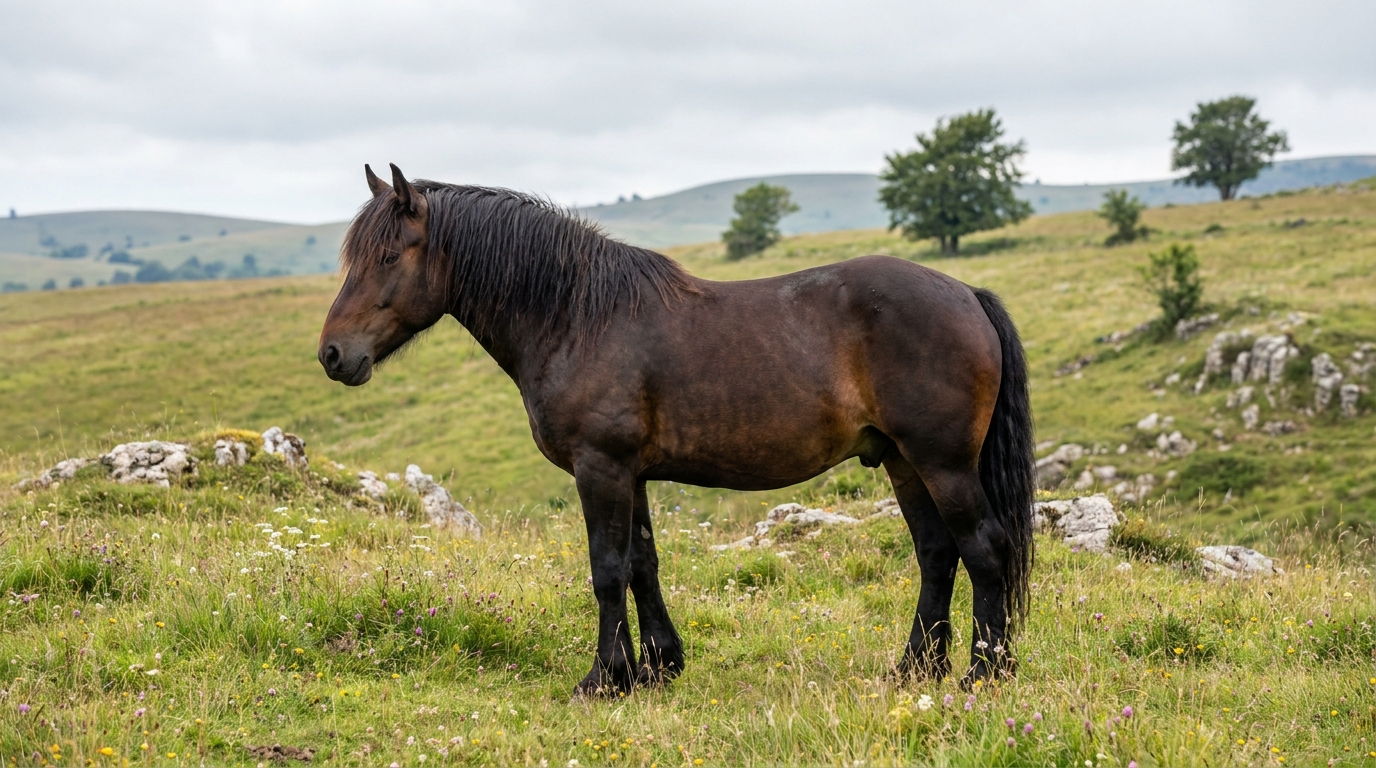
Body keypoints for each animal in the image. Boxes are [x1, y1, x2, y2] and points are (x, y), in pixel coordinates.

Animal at [318, 164, 1036, 696]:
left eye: (388, 255)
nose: (333, 355)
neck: (577, 316)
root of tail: (967, 295)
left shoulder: (601, 468)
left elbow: (607, 569)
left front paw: (603, 679)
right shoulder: (628, 473)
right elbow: (643, 564)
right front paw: (657, 668)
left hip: (942, 462)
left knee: (984, 548)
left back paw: (984, 672)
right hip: (901, 461)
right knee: (937, 554)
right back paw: (915, 669)